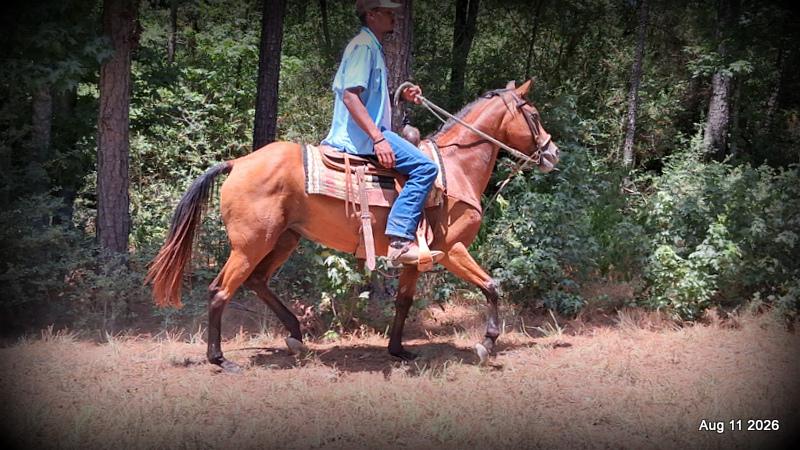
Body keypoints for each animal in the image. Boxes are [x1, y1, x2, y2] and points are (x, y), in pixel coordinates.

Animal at [146, 79, 559, 372]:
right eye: (535, 115)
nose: (553, 153)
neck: (453, 168)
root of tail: (238, 163)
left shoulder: (417, 257)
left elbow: (404, 301)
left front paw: (398, 350)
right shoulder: (451, 249)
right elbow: (492, 287)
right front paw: (486, 344)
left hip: (283, 240)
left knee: (258, 282)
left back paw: (295, 336)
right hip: (251, 245)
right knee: (220, 291)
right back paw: (220, 359)